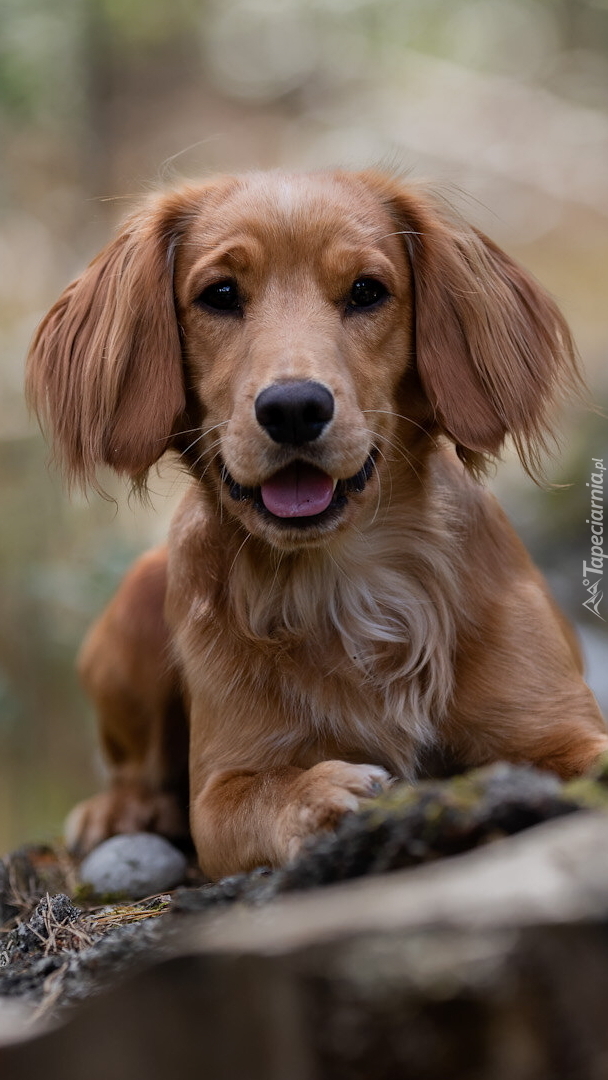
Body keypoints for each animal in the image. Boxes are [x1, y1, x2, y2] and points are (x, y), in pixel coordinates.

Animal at [24, 166, 608, 876]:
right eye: (220, 294)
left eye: (367, 291)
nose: (294, 407)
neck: (349, 577)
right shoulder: (220, 789)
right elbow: (261, 794)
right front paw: (324, 793)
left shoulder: (558, 728)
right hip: (133, 608)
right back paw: (122, 809)